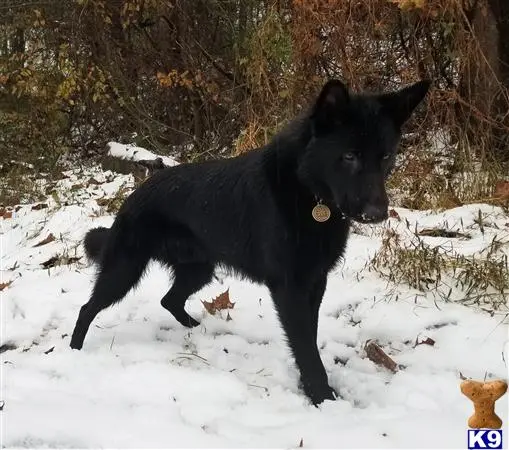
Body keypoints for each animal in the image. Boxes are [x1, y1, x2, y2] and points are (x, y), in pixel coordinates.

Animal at [70, 79, 428, 406]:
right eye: (350, 156)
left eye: (386, 157)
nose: (377, 213)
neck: (307, 192)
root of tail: (132, 198)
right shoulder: (289, 288)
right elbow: (306, 347)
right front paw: (321, 397)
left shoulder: (315, 282)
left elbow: (308, 338)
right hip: (124, 271)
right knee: (88, 307)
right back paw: (74, 351)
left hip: (198, 270)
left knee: (169, 300)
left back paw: (195, 327)